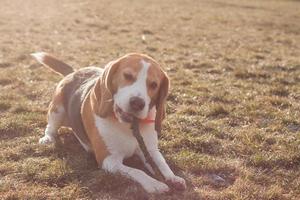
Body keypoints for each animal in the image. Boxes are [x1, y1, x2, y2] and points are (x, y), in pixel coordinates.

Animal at [30, 52, 185, 193]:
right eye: (128, 76)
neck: (128, 127)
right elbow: (137, 171)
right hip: (57, 111)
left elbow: (162, 163)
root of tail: (74, 72)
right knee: (50, 127)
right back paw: (47, 139)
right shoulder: (109, 160)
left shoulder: (150, 150)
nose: (137, 103)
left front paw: (173, 177)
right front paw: (155, 184)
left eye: (154, 85)